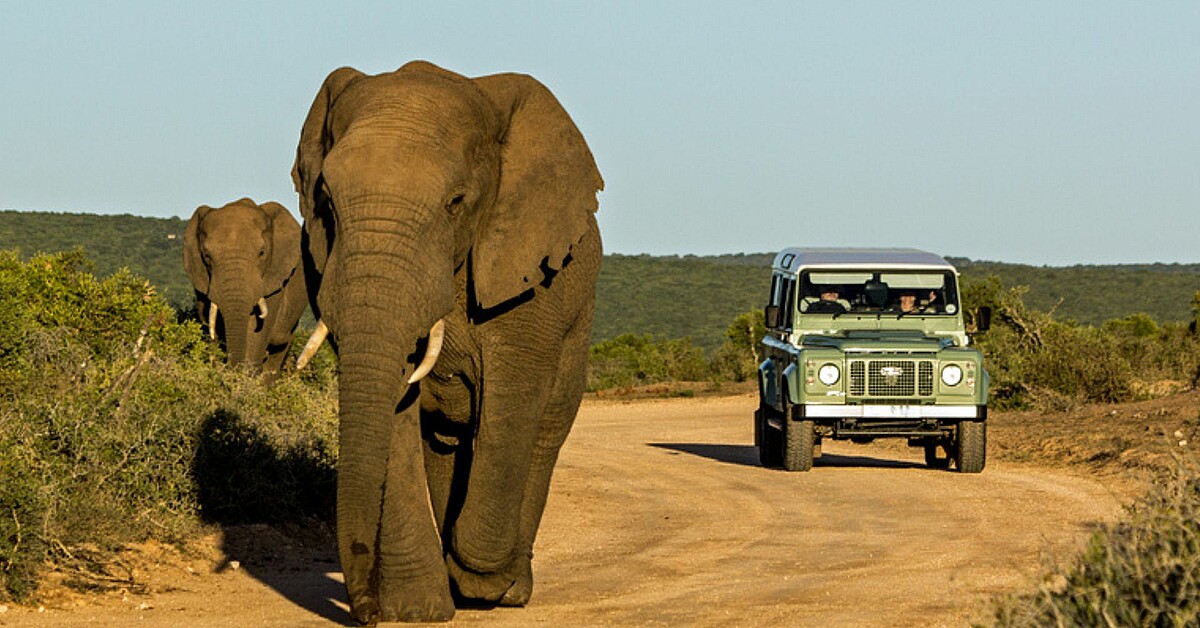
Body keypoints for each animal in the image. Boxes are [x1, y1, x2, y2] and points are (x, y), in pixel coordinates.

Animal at [289, 61, 604, 619]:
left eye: (456, 203)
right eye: (325, 201)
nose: (365, 612)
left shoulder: (528, 279)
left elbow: (512, 401)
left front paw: (480, 580)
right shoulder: (320, 262)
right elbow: (395, 413)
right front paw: (416, 611)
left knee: (544, 429)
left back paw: (506, 590)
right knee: (444, 441)